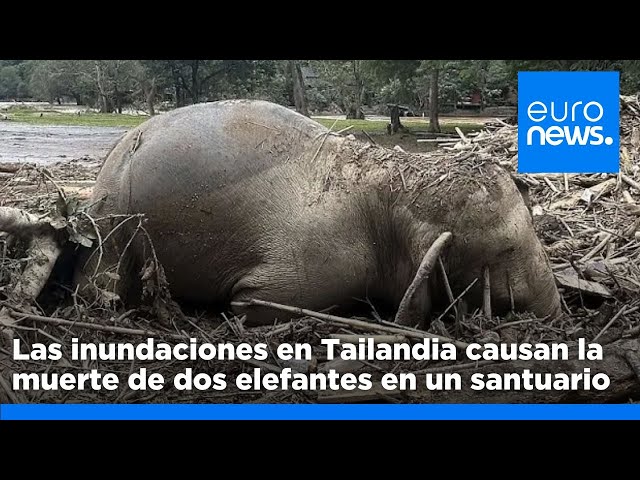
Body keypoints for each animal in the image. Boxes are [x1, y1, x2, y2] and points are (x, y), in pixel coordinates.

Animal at [75, 100, 564, 328]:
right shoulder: (324, 264)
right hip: (112, 219)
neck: (394, 184)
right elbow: (252, 301)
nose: (558, 312)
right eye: (507, 248)